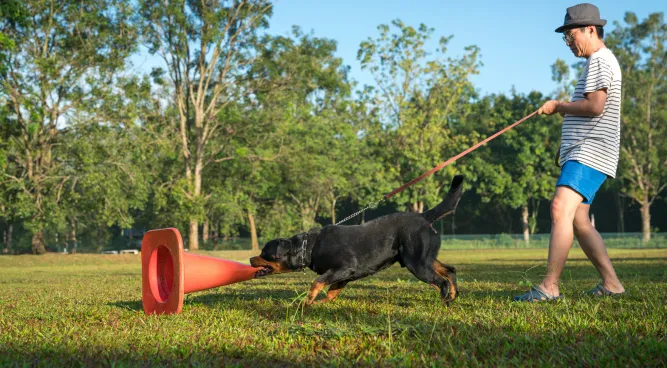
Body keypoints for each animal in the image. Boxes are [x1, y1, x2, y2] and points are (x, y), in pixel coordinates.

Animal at [250, 175, 464, 304]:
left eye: (264, 252)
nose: (251, 259)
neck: (308, 248)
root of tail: (424, 216)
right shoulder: (343, 276)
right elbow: (331, 292)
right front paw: (320, 303)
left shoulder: (344, 267)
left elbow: (317, 282)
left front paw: (308, 302)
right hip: (424, 259)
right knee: (450, 270)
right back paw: (454, 295)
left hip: (417, 263)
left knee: (441, 282)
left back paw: (445, 303)